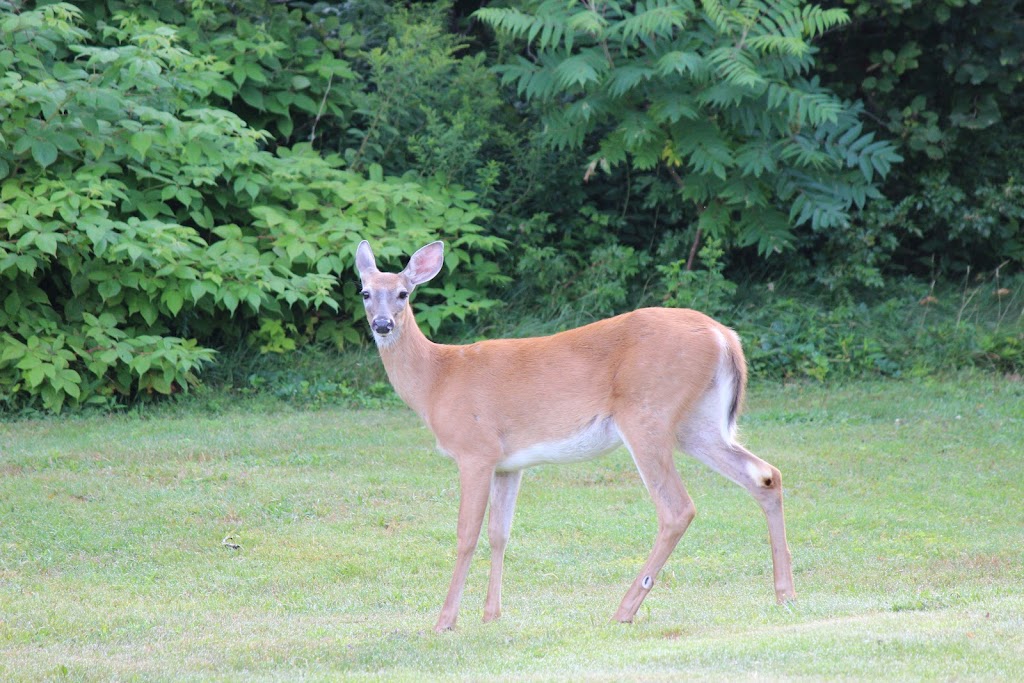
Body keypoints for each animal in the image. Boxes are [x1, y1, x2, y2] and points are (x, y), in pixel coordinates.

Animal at [356, 241, 794, 634]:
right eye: (365, 292)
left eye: (403, 293)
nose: (383, 324)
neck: (437, 379)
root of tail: (725, 336)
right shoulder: (507, 464)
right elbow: (500, 534)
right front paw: (491, 615)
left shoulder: (474, 450)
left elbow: (467, 535)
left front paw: (445, 621)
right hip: (697, 423)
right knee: (764, 475)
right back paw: (785, 594)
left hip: (646, 414)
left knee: (677, 508)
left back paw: (624, 610)